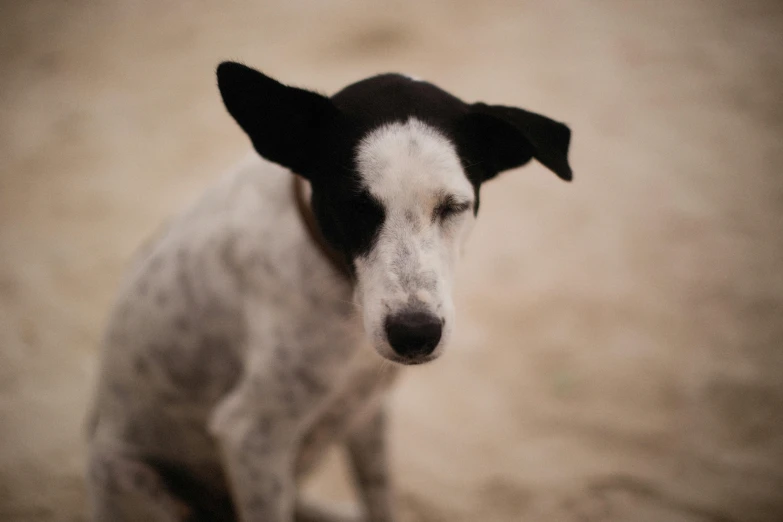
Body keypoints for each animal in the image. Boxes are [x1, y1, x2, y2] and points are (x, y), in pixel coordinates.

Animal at [87, 62, 576, 520]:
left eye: (454, 206)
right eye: (352, 207)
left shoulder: (367, 411)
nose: (415, 334)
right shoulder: (251, 435)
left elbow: (380, 500)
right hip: (132, 478)